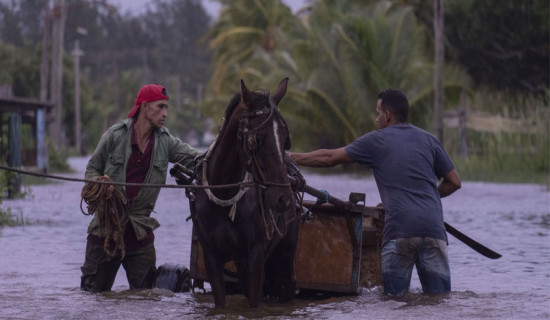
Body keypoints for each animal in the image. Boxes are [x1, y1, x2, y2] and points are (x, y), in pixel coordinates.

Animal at [192, 77, 300, 308]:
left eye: (285, 139)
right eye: (257, 140)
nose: (283, 199)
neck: (224, 195)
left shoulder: (256, 253)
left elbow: (255, 300)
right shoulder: (211, 256)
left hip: (286, 254)